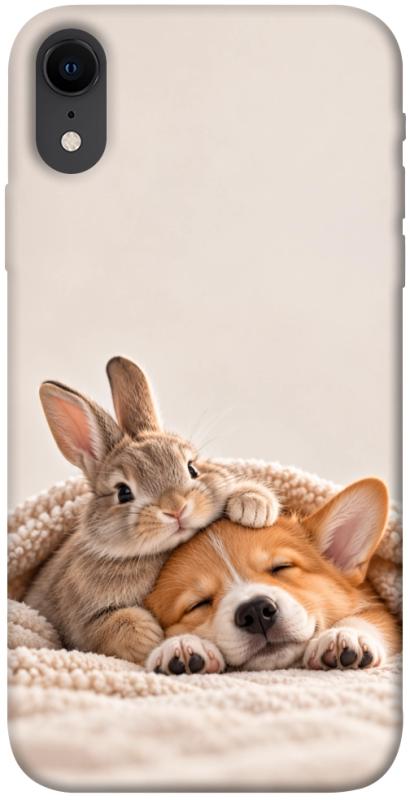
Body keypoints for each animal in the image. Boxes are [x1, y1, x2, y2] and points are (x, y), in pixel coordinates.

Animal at [24, 356, 280, 664]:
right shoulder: (82, 622)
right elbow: (114, 625)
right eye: (123, 492)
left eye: (192, 468)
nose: (176, 508)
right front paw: (152, 638)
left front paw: (253, 505)